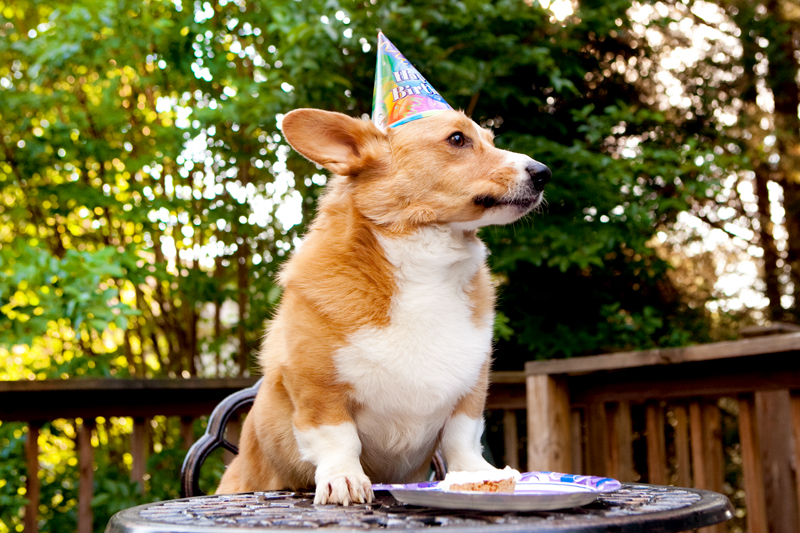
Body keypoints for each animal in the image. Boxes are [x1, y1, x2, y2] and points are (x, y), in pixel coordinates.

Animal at [216, 107, 552, 502]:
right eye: (457, 139)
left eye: (491, 140)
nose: (543, 173)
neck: (425, 264)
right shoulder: (319, 393)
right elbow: (339, 440)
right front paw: (344, 479)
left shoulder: (470, 390)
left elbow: (462, 438)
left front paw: (477, 475)